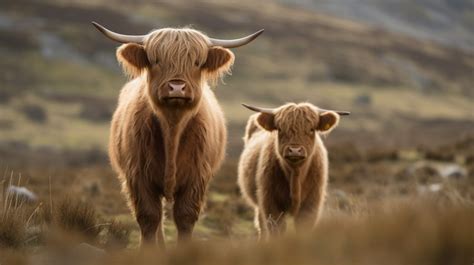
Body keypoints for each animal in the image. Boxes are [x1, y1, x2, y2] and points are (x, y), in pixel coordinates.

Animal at [92, 22, 262, 245]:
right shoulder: (138, 176)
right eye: (156, 60)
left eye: (197, 62)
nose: (177, 87)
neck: (172, 128)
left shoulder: (197, 177)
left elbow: (184, 217)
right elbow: (149, 218)